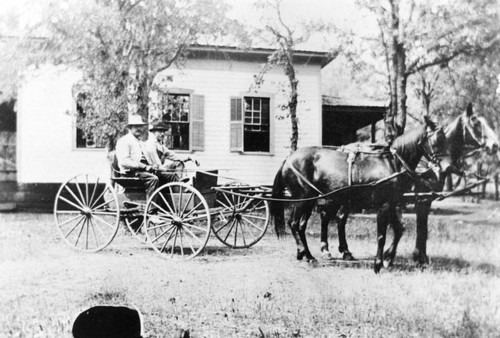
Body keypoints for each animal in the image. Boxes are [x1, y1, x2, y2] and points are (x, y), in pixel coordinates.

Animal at [270, 118, 446, 272]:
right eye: (437, 139)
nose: (444, 169)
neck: (392, 163)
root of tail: (288, 160)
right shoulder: (384, 205)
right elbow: (382, 235)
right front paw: (378, 264)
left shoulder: (392, 204)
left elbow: (398, 229)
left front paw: (388, 259)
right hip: (303, 199)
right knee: (294, 224)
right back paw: (308, 254)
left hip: (310, 200)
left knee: (301, 225)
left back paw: (307, 255)